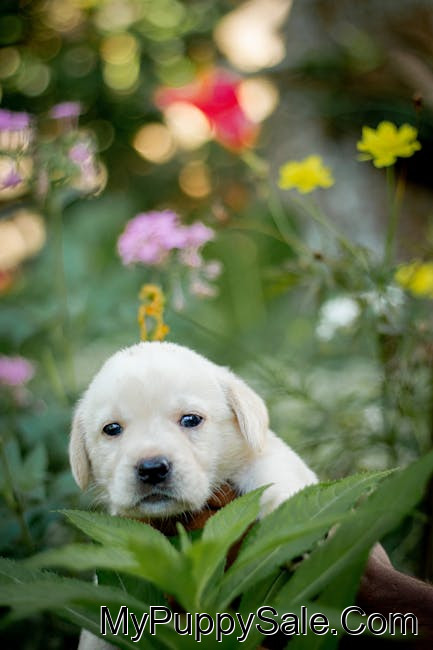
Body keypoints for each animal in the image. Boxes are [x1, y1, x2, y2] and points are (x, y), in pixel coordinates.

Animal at [70, 341, 317, 649]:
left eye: (190, 419)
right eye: (112, 428)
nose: (152, 468)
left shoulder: (262, 453)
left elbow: (274, 471)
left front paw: (293, 526)